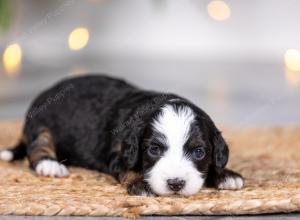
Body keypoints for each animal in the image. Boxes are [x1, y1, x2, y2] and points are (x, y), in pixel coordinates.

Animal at [0, 74, 244, 196]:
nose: (175, 184)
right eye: (154, 150)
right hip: (41, 125)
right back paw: (50, 165)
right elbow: (129, 169)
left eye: (199, 152)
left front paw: (225, 175)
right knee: (37, 147)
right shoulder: (119, 152)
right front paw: (142, 185)